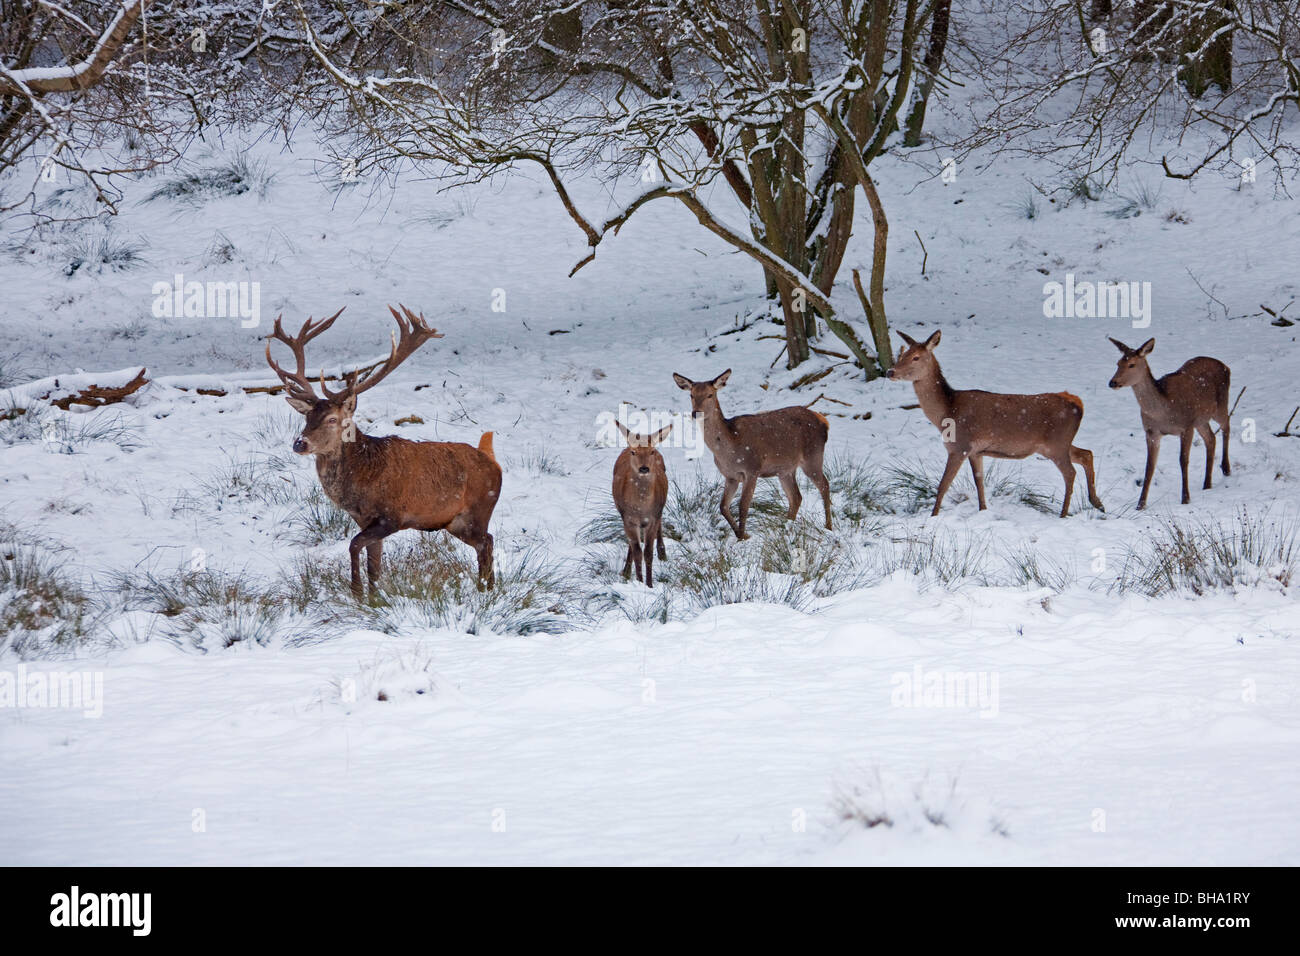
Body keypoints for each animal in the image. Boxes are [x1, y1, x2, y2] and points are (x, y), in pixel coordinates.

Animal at [265, 305, 502, 597]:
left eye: (332, 419)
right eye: (307, 417)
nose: (300, 443)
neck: (360, 486)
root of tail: (492, 460)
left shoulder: (392, 516)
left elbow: (354, 545)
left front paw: (356, 592)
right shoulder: (364, 520)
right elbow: (374, 566)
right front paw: (373, 599)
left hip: (479, 509)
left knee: (486, 542)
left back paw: (486, 590)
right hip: (454, 522)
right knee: (486, 542)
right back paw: (487, 588)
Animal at [612, 421, 673, 587]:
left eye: (651, 451)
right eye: (634, 452)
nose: (644, 468)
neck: (641, 508)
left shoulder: (653, 517)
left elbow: (648, 553)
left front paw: (649, 584)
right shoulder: (628, 518)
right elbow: (638, 551)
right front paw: (639, 581)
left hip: (659, 510)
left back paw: (662, 552)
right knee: (633, 545)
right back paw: (626, 571)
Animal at [672, 370, 832, 540]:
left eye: (710, 394)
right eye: (691, 395)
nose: (696, 413)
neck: (729, 449)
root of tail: (824, 422)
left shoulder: (752, 469)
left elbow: (743, 506)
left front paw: (743, 537)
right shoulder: (731, 476)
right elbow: (723, 507)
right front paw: (742, 535)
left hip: (813, 457)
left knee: (824, 485)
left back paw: (828, 527)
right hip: (785, 469)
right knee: (796, 497)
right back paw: (785, 528)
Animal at [886, 329, 1105, 518]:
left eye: (916, 357)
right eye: (902, 354)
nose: (890, 372)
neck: (946, 412)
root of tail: (1078, 403)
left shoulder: (959, 446)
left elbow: (943, 485)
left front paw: (933, 516)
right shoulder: (976, 451)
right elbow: (979, 482)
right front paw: (983, 510)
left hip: (1056, 444)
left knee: (1070, 472)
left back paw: (1064, 513)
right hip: (1057, 444)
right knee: (1086, 453)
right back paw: (1097, 503)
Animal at [1107, 337, 1231, 509]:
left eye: (1131, 364)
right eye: (1118, 363)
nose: (1112, 382)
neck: (1163, 412)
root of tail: (1226, 366)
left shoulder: (1186, 426)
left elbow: (1183, 461)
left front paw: (1185, 498)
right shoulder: (1151, 432)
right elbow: (1149, 466)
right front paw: (1140, 504)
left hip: (1220, 405)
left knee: (1227, 425)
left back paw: (1226, 469)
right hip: (1200, 420)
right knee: (1211, 438)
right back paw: (1207, 484)